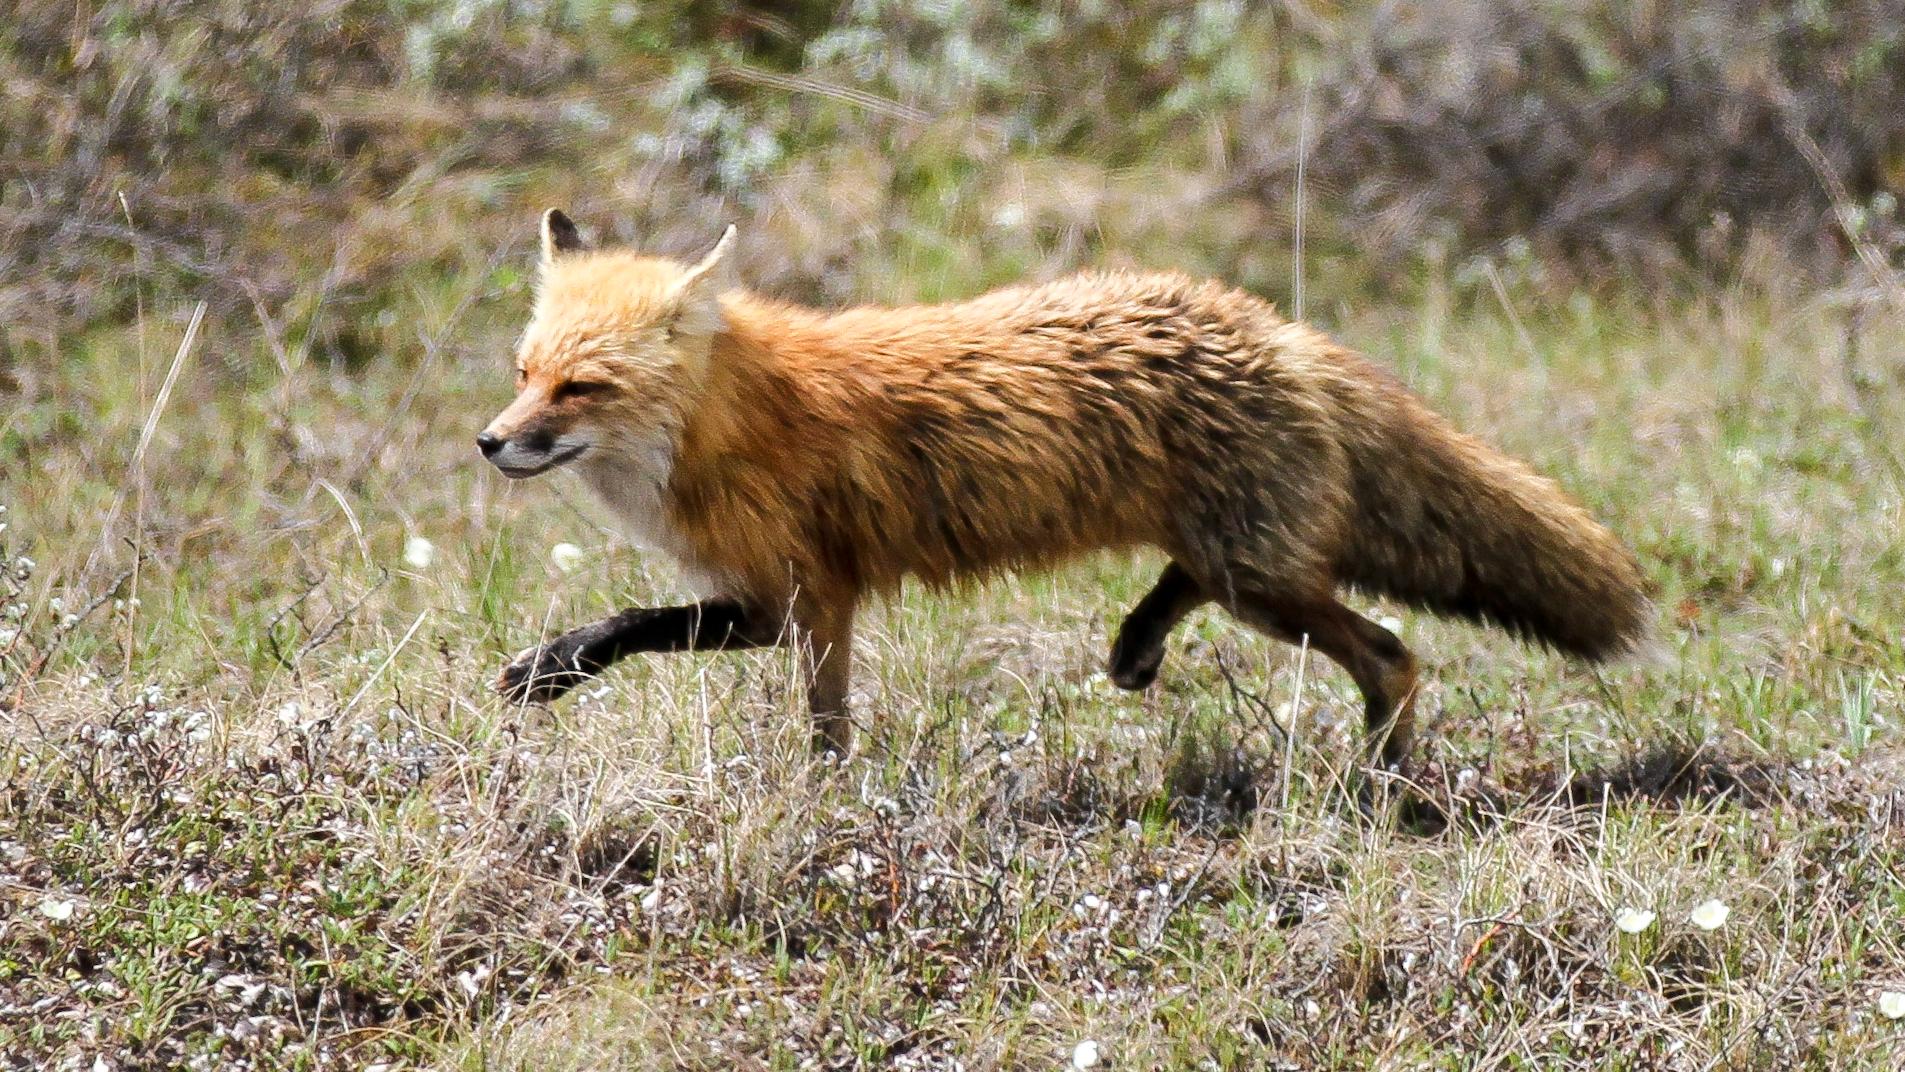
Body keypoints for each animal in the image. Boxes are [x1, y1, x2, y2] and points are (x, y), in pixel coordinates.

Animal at [480, 208, 1651, 768]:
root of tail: (1276, 328)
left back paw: (1386, 790)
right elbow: (648, 628)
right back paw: (1137, 648)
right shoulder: (784, 601)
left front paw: (823, 800)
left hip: (1263, 585)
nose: (491, 443)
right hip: (1245, 567)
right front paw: (552, 670)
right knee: (1203, 585)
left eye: (582, 387)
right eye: (525, 368)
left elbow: (680, 643)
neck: (733, 423)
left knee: (1394, 656)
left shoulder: (804, 595)